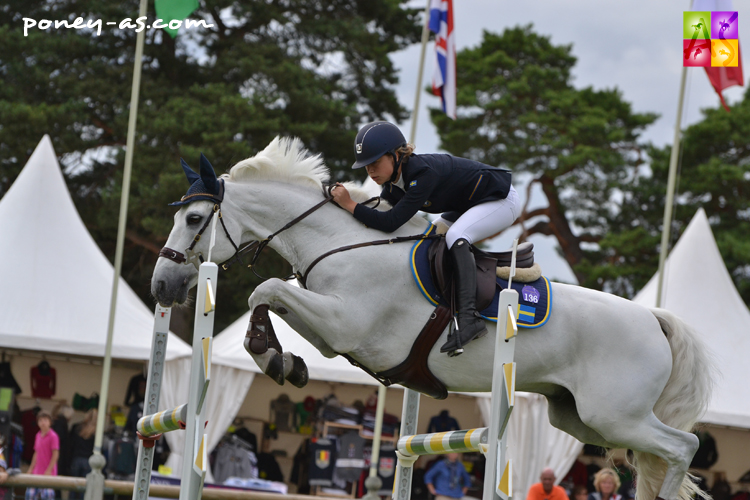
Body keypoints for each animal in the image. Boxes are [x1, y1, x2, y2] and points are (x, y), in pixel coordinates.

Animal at [153, 138, 716, 500]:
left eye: (195, 219)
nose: (162, 285)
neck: (342, 243)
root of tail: (654, 319)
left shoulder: (347, 323)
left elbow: (265, 289)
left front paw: (273, 356)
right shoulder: (338, 335)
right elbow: (272, 298)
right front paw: (284, 361)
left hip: (614, 415)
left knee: (683, 446)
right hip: (579, 417)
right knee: (659, 452)